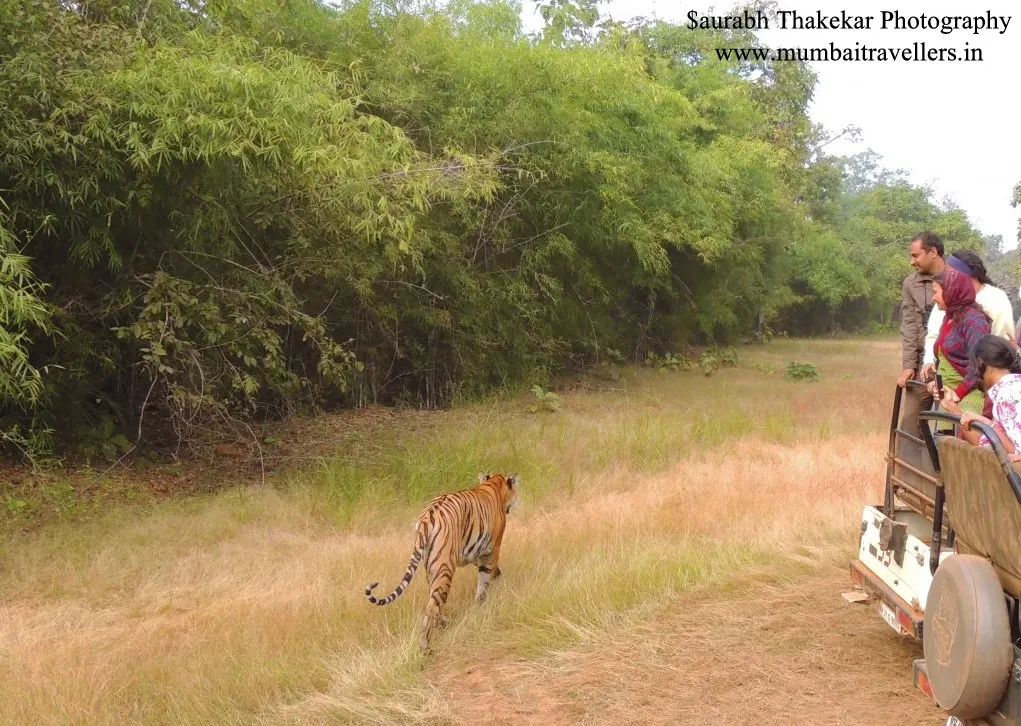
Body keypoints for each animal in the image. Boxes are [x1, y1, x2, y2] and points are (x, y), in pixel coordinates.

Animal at [365, 472, 520, 651]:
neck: (494, 484)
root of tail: (426, 517)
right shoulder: (492, 549)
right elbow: (484, 581)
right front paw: (481, 604)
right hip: (445, 566)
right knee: (432, 607)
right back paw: (425, 645)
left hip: (431, 566)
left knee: (434, 598)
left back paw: (443, 623)